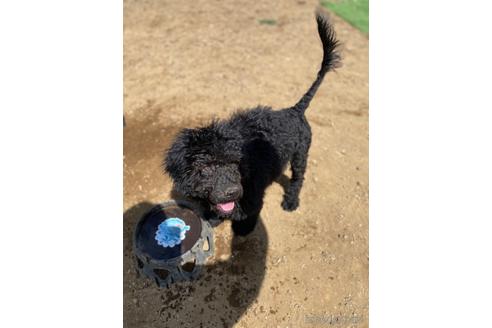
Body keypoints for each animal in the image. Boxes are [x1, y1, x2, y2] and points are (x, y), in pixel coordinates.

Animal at [163, 13, 340, 236]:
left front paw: (242, 230)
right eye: (205, 169)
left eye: (234, 163)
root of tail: (294, 110)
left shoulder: (252, 193)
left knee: (298, 179)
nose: (232, 191)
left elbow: (249, 213)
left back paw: (291, 202)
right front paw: (214, 219)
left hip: (301, 155)